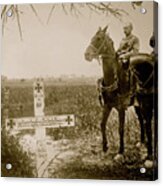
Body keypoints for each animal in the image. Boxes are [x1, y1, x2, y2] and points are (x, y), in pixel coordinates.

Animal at [84, 26, 157, 169]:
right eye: (92, 37)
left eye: (99, 38)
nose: (86, 55)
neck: (114, 79)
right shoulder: (107, 106)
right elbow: (102, 124)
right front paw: (105, 147)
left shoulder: (121, 108)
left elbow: (121, 129)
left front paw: (120, 153)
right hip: (137, 105)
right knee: (141, 120)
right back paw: (141, 142)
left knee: (144, 120)